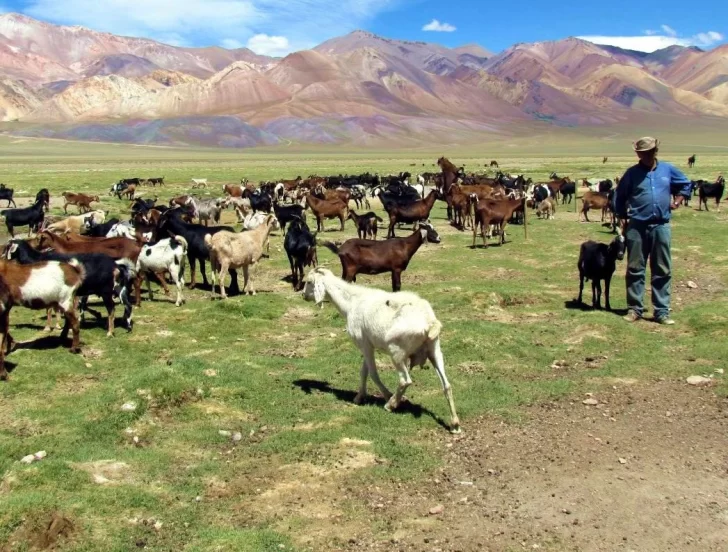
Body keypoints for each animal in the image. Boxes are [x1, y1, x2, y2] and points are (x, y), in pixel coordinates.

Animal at [2, 239, 136, 334]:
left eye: (7, 247)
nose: (2, 258)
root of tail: (115, 265)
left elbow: (49, 309)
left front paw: (48, 328)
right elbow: (56, 309)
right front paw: (59, 326)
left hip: (106, 291)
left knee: (111, 309)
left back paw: (110, 332)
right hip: (119, 289)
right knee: (127, 305)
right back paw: (127, 326)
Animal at [302, 266, 460, 434]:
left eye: (309, 282)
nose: (303, 295)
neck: (351, 303)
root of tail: (429, 322)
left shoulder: (364, 344)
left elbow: (373, 373)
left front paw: (386, 395)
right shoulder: (367, 345)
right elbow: (363, 372)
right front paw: (359, 397)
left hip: (396, 352)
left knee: (405, 380)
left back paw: (391, 404)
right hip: (434, 350)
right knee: (447, 385)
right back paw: (455, 423)